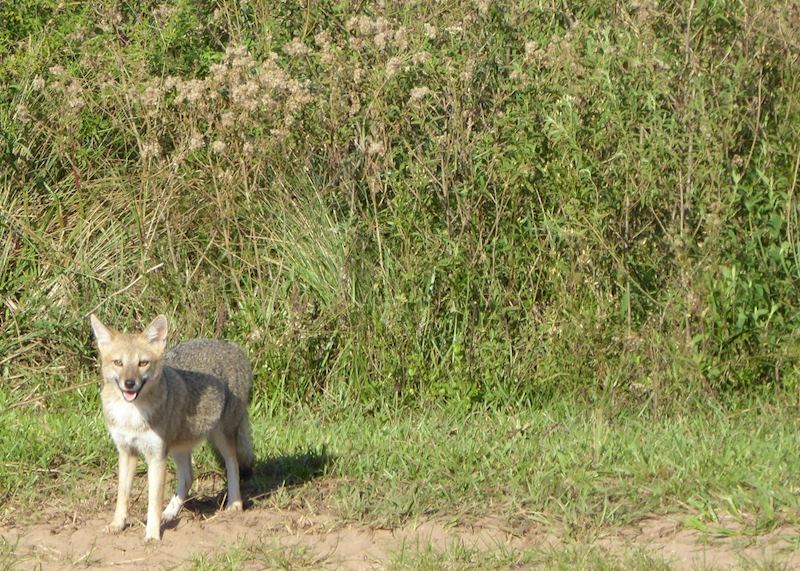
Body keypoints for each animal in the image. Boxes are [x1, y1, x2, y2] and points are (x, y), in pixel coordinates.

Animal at [89, 313, 254, 542]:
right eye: (118, 363)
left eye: (142, 363)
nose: (129, 383)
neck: (131, 416)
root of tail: (234, 347)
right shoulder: (126, 452)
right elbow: (123, 495)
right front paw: (117, 524)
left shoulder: (157, 457)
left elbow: (153, 501)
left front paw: (152, 534)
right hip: (178, 447)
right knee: (188, 477)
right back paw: (170, 512)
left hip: (221, 437)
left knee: (233, 464)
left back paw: (234, 504)